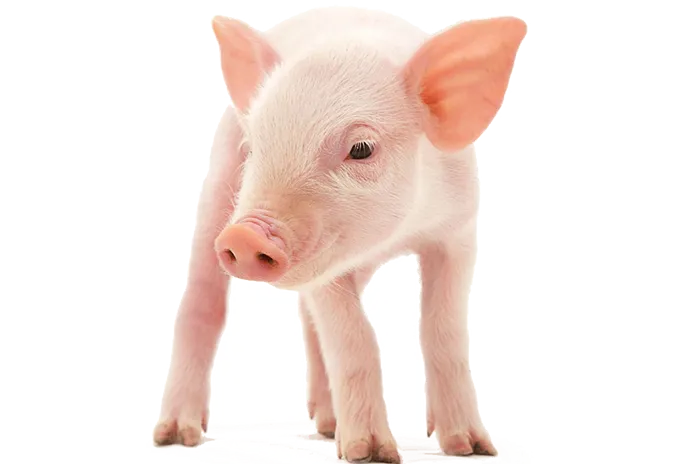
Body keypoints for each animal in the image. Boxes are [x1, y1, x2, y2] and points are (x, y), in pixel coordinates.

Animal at [154, 8, 526, 463]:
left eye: (362, 148)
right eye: (255, 146)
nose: (245, 235)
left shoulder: (459, 231)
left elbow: (443, 330)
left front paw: (471, 448)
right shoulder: (321, 263)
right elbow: (354, 335)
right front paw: (370, 454)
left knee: (307, 320)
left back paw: (328, 425)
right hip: (218, 188)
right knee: (202, 304)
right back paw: (176, 436)